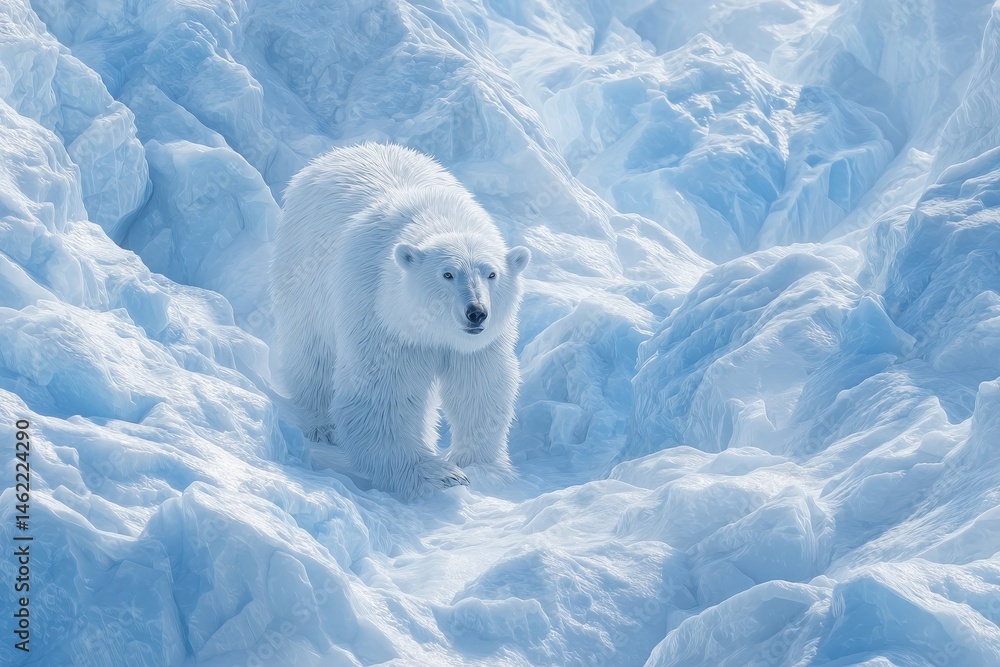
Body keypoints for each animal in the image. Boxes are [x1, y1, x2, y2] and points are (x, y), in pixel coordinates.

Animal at [271, 142, 530, 499]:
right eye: (448, 274)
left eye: (491, 274)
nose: (476, 312)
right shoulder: (380, 314)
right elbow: (382, 394)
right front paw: (436, 475)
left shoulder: (479, 343)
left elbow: (481, 386)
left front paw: (482, 469)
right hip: (304, 272)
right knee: (312, 351)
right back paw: (320, 424)